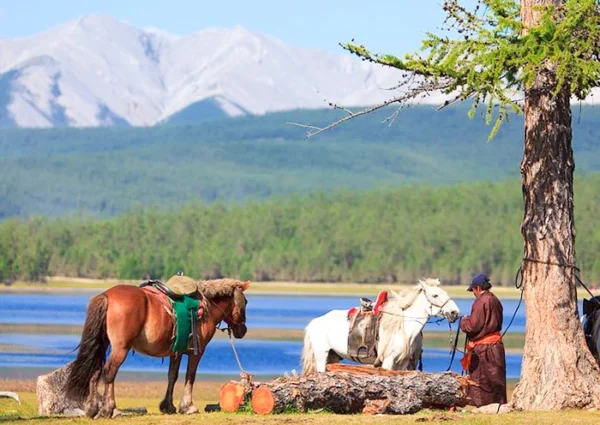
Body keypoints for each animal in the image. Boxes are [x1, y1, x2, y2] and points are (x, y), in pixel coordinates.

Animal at [64, 278, 250, 418]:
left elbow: (172, 376)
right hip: (120, 348)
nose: (243, 330)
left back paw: (92, 408)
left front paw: (168, 406)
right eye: (246, 302)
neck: (206, 308)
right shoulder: (197, 352)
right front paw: (188, 406)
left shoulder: (176, 352)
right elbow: (190, 376)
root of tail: (107, 295)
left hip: (102, 343)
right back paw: (110, 409)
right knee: (110, 371)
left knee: (95, 369)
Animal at [301, 278, 460, 374]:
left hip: (332, 356)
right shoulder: (388, 361)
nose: (455, 312)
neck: (403, 326)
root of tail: (313, 323)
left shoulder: (403, 364)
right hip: (321, 354)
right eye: (435, 295)